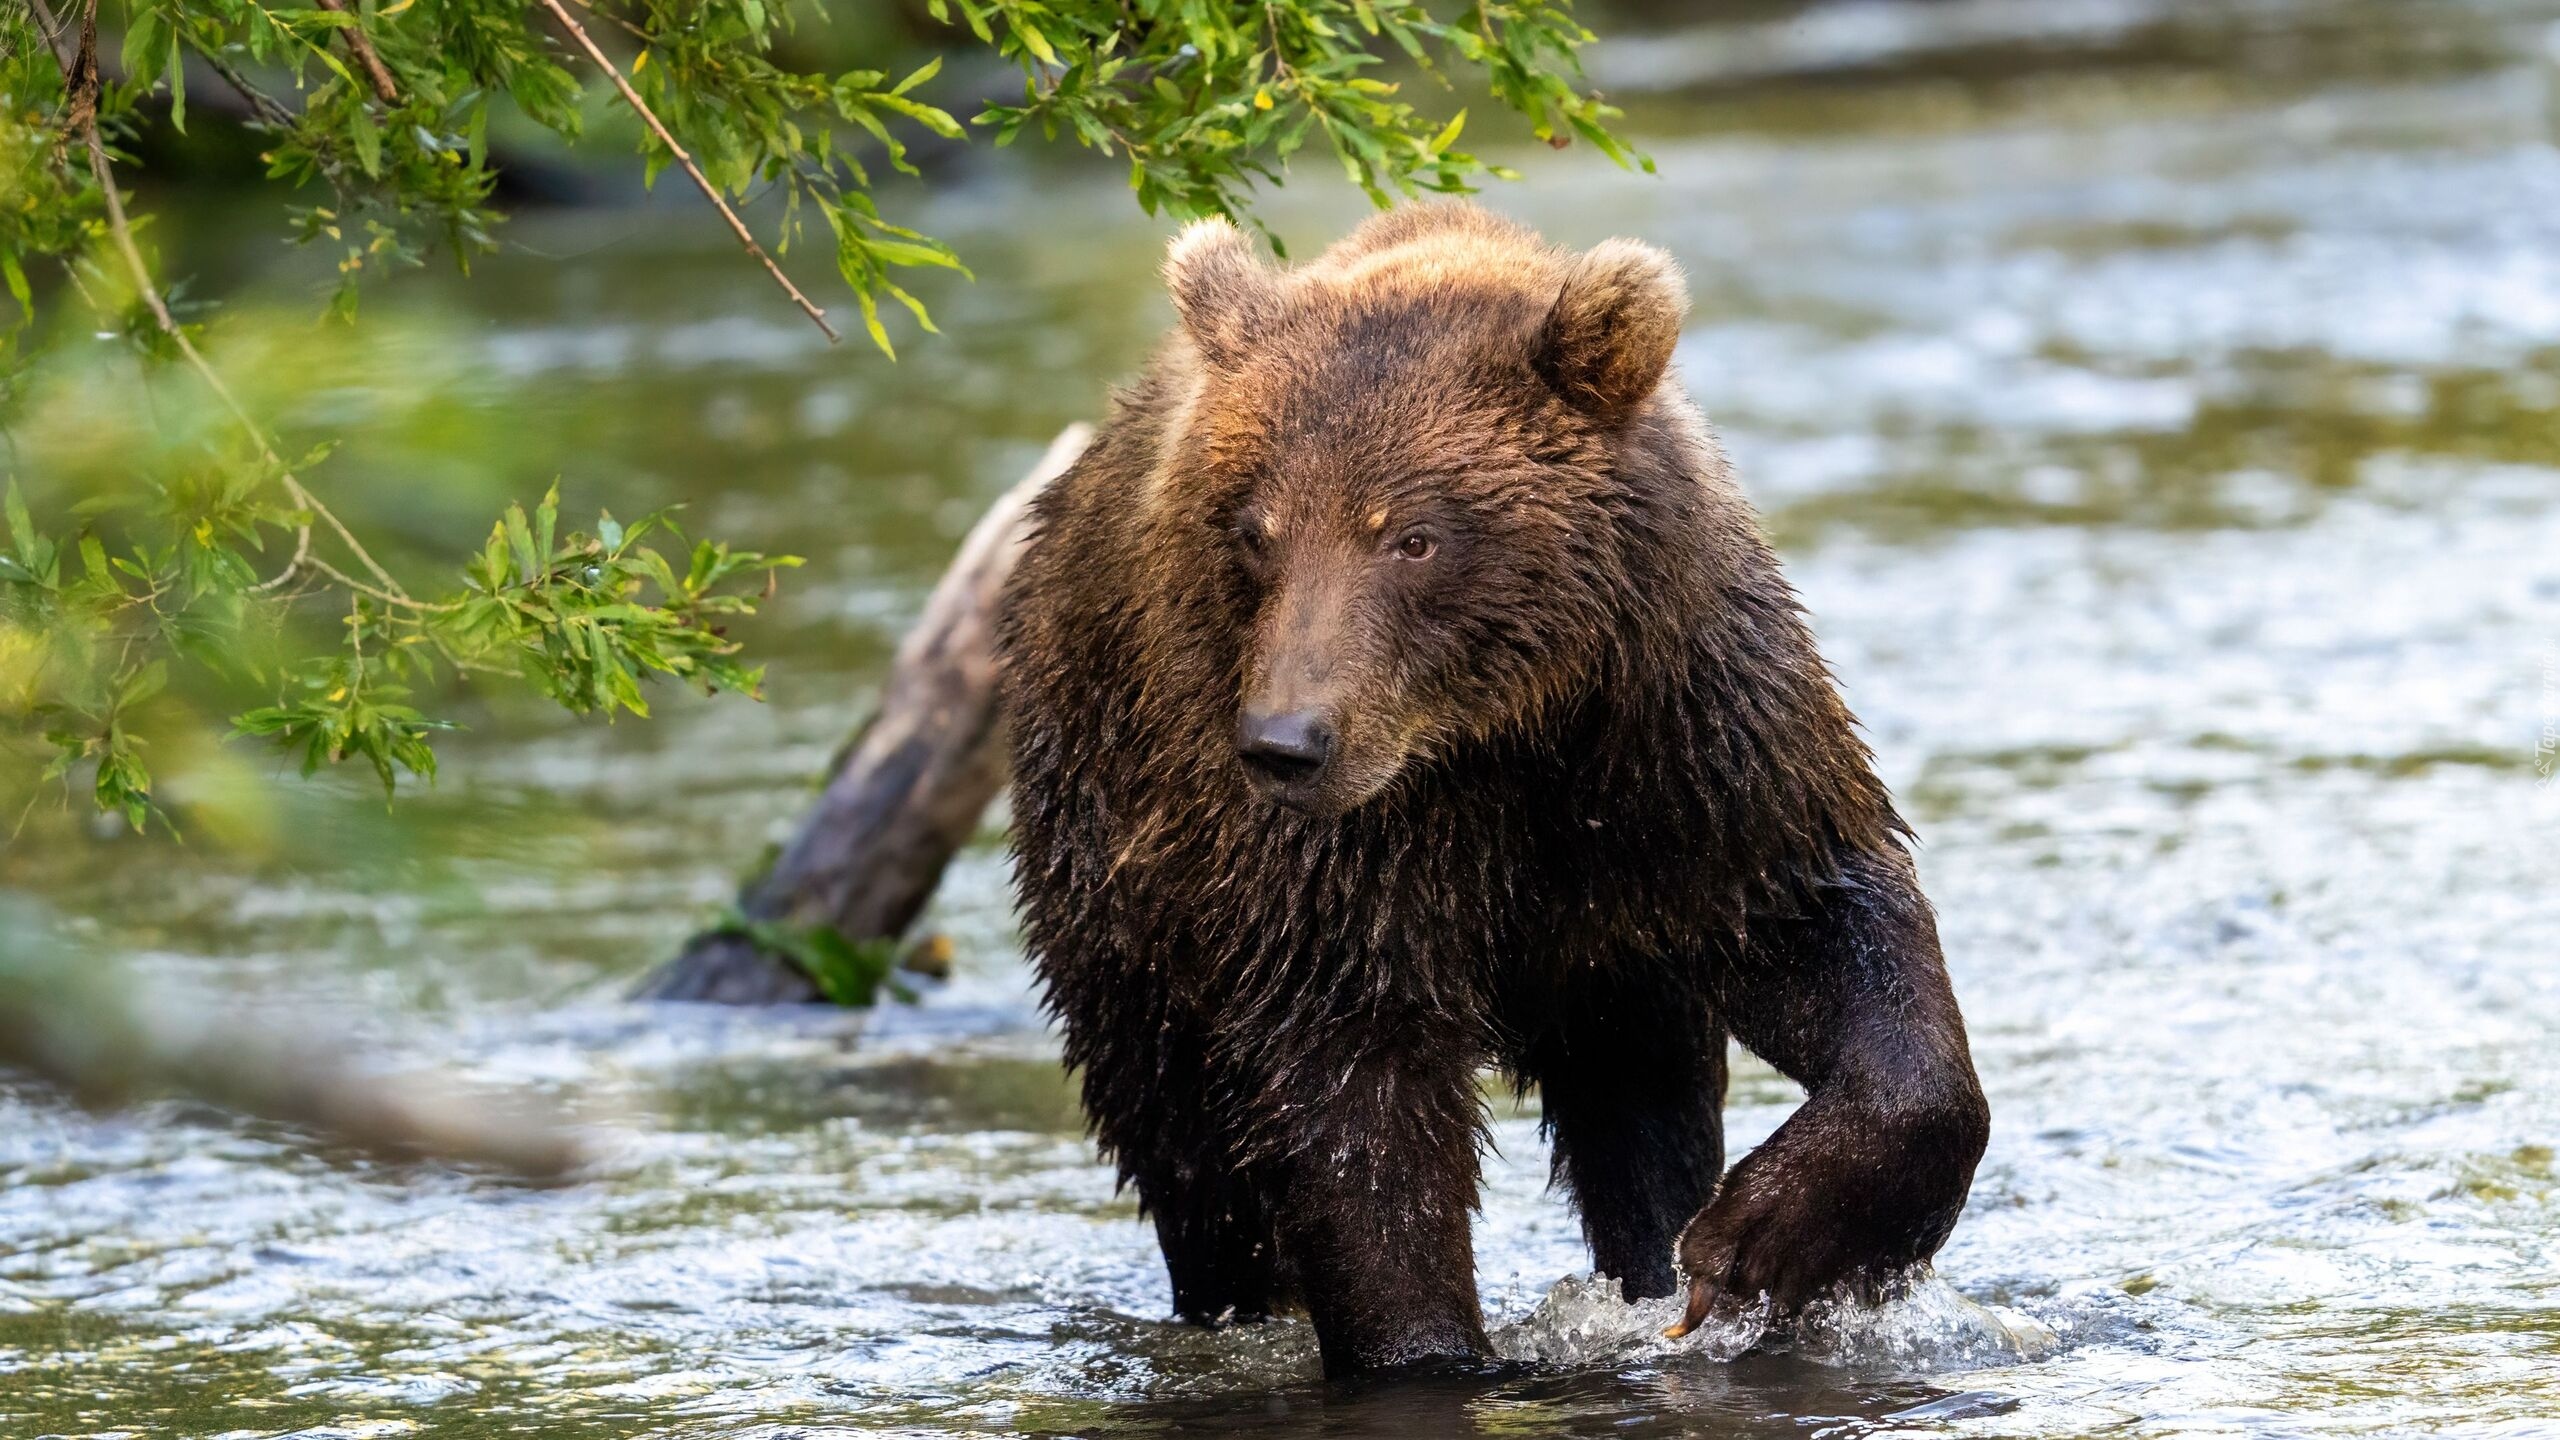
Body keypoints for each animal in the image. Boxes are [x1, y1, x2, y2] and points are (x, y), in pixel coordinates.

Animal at [988, 198, 1986, 1363]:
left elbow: (1827, 924)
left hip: (1614, 958)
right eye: (1255, 532)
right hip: (1118, 852)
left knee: (1641, 1096)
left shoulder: (1688, 743)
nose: (1286, 741)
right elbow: (1353, 1092)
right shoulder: (1337, 850)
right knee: (1182, 1136)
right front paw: (1424, 1346)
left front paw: (1770, 1240)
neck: (1505, 731)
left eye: (1413, 536)